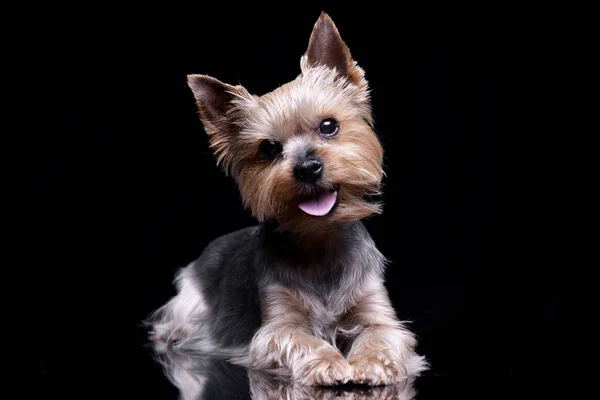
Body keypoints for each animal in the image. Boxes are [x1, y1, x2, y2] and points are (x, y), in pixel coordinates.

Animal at [148, 13, 428, 388]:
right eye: (268, 148)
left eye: (329, 125)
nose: (307, 167)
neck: (319, 240)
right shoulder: (276, 323)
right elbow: (298, 338)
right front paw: (329, 362)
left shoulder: (377, 309)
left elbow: (380, 334)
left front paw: (372, 363)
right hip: (189, 302)